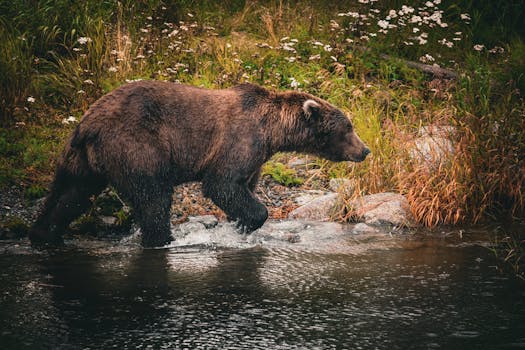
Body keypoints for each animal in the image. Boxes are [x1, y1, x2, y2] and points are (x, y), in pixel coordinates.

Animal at [28, 81, 368, 246]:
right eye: (348, 127)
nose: (364, 150)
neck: (272, 132)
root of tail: (87, 123)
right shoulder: (239, 140)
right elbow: (222, 183)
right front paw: (250, 220)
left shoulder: (256, 157)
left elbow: (243, 187)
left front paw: (237, 223)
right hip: (135, 146)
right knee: (154, 198)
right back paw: (163, 240)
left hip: (80, 160)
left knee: (69, 195)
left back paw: (44, 235)